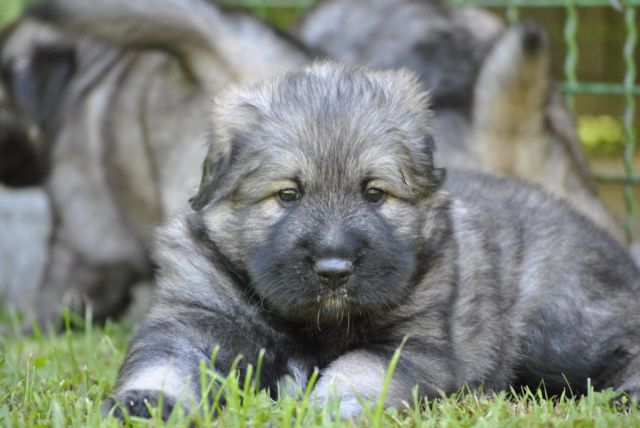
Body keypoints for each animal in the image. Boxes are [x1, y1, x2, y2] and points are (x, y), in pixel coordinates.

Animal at [106, 63, 640, 422]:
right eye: (288, 194)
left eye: (374, 193)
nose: (334, 269)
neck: (314, 326)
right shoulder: (197, 318)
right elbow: (167, 362)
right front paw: (146, 402)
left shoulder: (408, 342)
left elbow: (358, 370)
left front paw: (327, 407)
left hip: (559, 320)